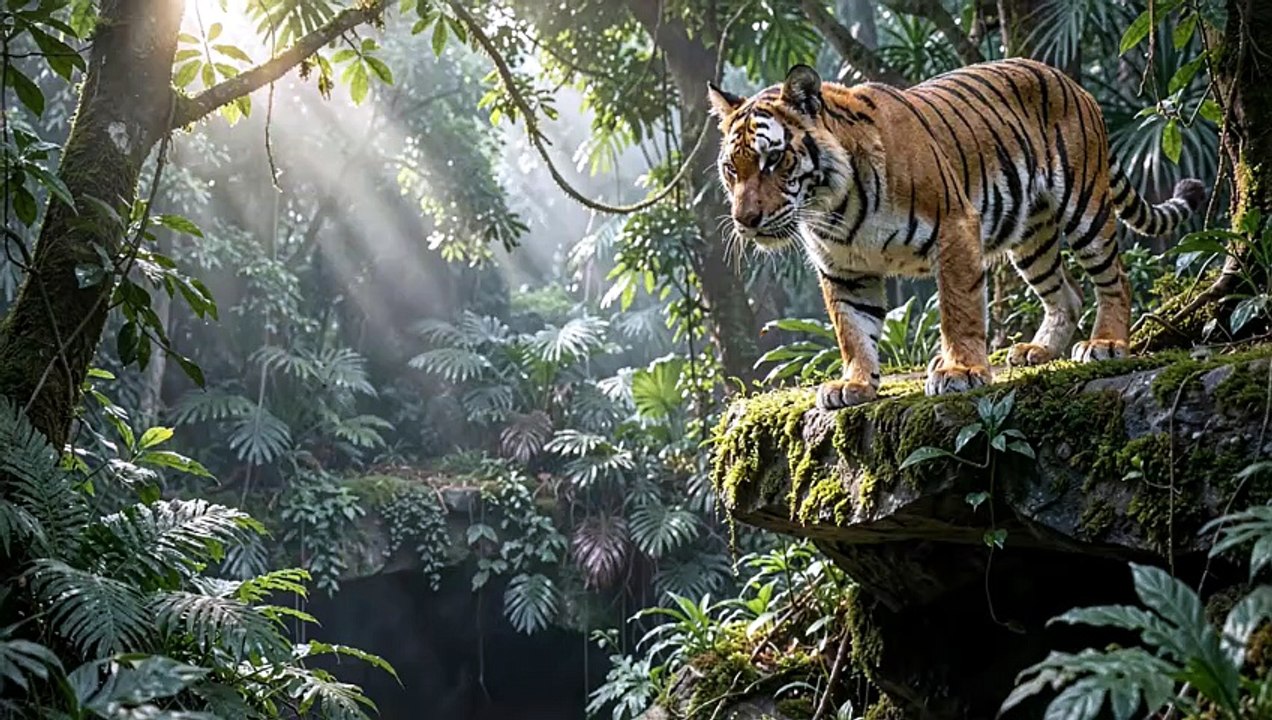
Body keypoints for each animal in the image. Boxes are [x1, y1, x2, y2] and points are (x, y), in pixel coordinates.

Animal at [708, 58, 1204, 410]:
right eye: (733, 169)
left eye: (773, 159)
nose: (745, 220)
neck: (834, 207)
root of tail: (1070, 80)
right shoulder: (843, 269)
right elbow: (852, 328)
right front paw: (855, 383)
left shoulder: (955, 229)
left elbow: (958, 309)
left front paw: (960, 371)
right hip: (1031, 237)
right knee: (1066, 294)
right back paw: (1038, 352)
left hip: (1085, 206)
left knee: (1115, 279)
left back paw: (1106, 344)